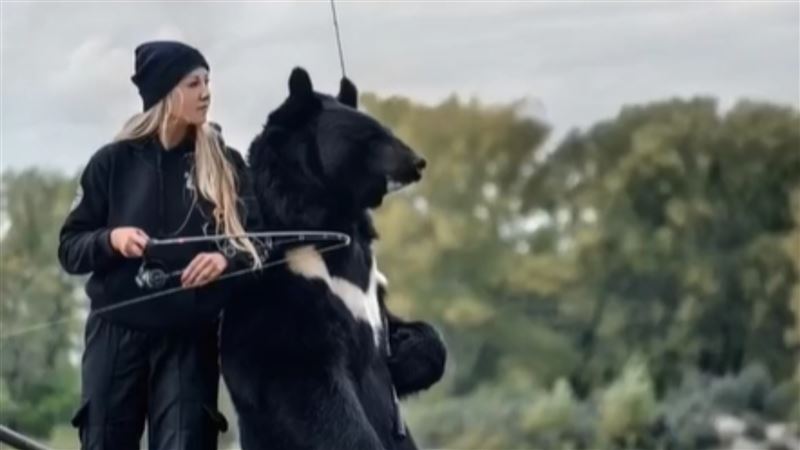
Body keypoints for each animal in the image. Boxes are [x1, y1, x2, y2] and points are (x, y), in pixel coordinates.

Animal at [219, 67, 447, 450]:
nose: (418, 162)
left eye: (387, 130)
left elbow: (406, 335)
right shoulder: (281, 285)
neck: (334, 218)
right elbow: (299, 373)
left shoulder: (371, 284)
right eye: (371, 137)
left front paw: (406, 350)